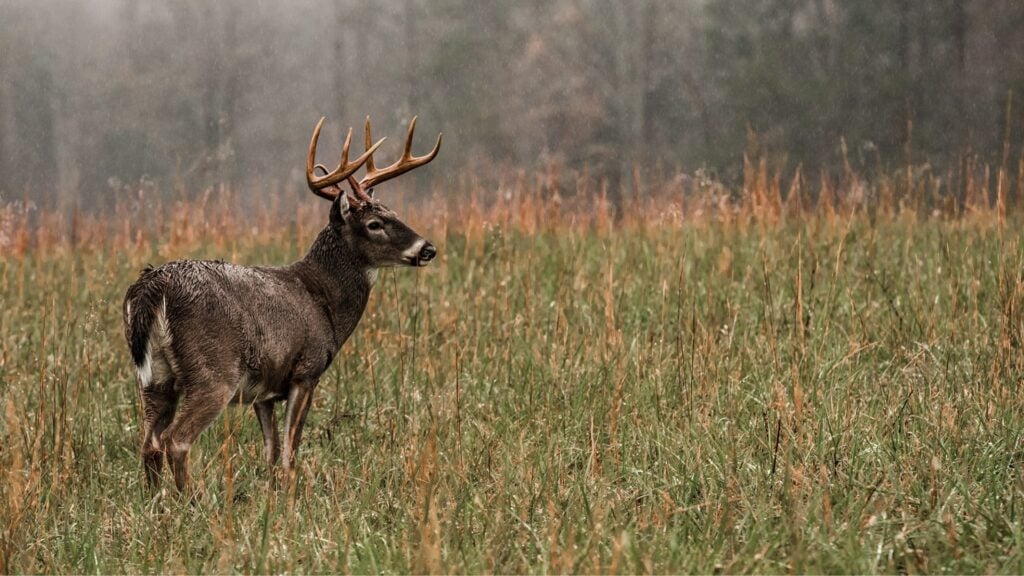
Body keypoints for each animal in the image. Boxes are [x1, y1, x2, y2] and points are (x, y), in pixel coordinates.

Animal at [123, 116, 441, 493]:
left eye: (394, 212)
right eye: (374, 224)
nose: (428, 249)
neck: (324, 301)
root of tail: (152, 287)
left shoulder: (266, 392)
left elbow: (272, 452)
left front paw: (272, 493)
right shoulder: (306, 370)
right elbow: (290, 451)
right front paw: (291, 495)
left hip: (155, 377)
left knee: (149, 443)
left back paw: (156, 501)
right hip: (213, 371)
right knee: (177, 439)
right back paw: (190, 499)